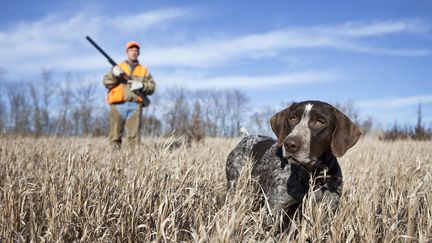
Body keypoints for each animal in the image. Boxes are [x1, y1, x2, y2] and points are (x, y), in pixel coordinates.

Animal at [226, 100, 362, 220]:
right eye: (292, 118)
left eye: (320, 122)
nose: (289, 144)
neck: (312, 174)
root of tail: (246, 137)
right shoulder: (274, 209)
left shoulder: (328, 208)